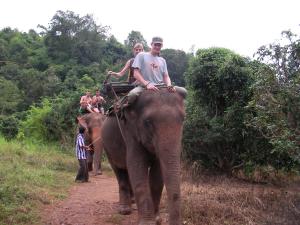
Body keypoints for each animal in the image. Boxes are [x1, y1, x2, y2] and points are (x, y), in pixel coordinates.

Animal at [101, 89, 185, 225]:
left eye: (183, 119)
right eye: (148, 122)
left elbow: (157, 173)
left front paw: (157, 219)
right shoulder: (130, 131)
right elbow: (136, 166)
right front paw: (147, 222)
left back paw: (133, 203)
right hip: (106, 146)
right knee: (120, 171)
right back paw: (125, 210)